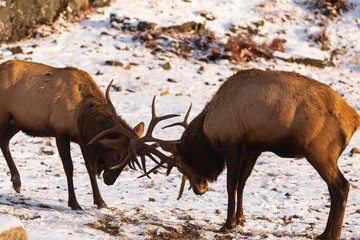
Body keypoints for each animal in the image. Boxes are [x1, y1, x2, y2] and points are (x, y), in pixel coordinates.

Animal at [0, 59, 174, 210]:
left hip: (16, 122)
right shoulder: (60, 132)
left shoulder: (83, 140)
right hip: (5, 117)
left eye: (128, 161)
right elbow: (69, 167)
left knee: (4, 141)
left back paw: (17, 182)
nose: (109, 181)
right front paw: (74, 203)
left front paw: (100, 201)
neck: (82, 117)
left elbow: (89, 168)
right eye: (118, 156)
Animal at [136, 68, 360, 239]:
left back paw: (332, 234)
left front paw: (227, 224)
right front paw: (240, 219)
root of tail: (354, 119)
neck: (209, 134)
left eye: (181, 164)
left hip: (319, 152)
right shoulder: (253, 150)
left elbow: (231, 185)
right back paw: (324, 233)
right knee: (335, 189)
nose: (199, 189)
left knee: (341, 186)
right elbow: (242, 183)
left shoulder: (232, 145)